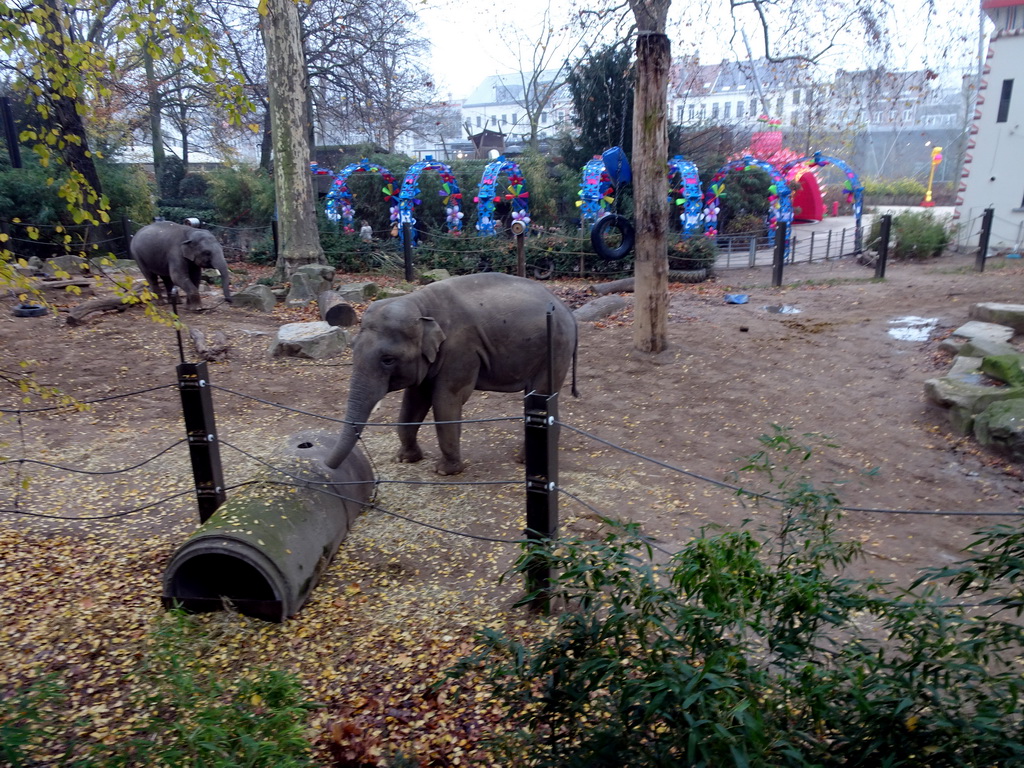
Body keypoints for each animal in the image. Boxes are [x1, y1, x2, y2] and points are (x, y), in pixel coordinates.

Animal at [323, 270, 581, 475]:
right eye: (352, 347)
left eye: (387, 360)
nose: (327, 467)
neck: (421, 305)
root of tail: (567, 309)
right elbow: (414, 400)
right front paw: (405, 459)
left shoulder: (461, 349)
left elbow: (446, 399)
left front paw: (445, 471)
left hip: (555, 347)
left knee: (541, 396)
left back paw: (526, 460)